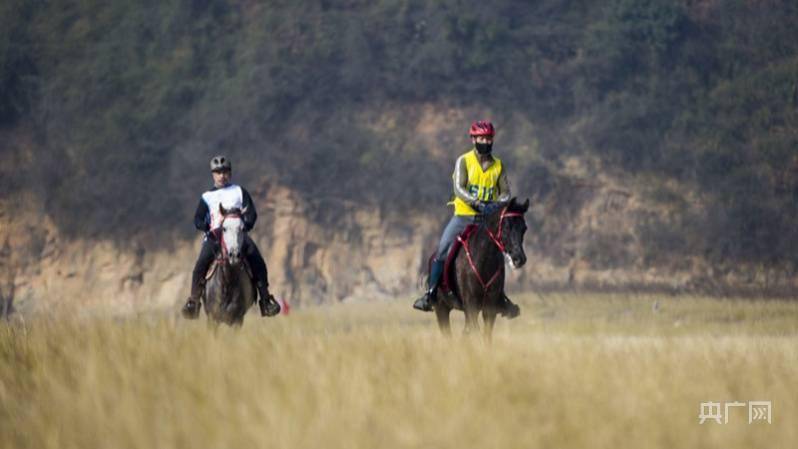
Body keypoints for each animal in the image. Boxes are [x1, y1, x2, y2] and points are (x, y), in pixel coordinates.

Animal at [438, 198, 532, 338]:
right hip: (441, 308)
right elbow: (476, 333)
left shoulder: (490, 308)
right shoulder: (471, 306)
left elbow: (486, 336)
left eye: (524, 228)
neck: (483, 260)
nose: (519, 259)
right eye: (506, 226)